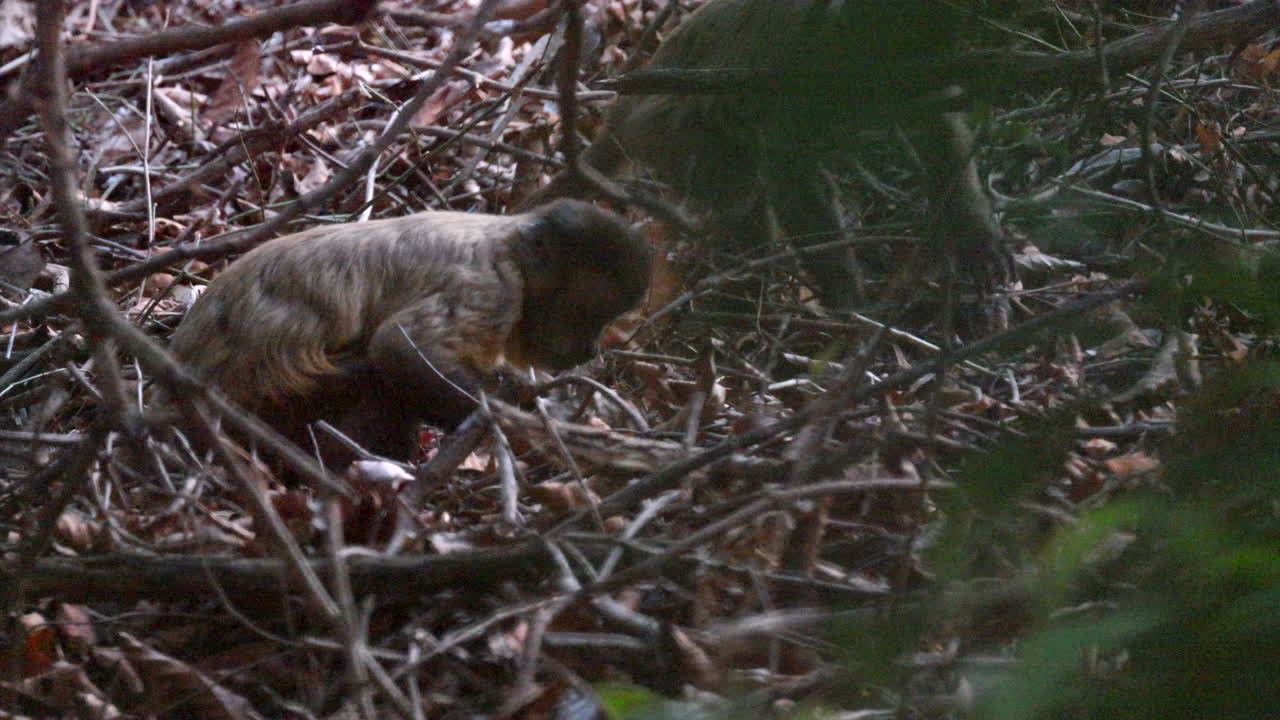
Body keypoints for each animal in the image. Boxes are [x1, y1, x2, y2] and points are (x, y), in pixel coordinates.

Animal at [166, 199, 651, 468]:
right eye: (587, 314)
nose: (590, 346)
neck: (508, 245)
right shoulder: (492, 288)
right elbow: (397, 348)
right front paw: (529, 425)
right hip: (269, 406)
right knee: (376, 380)